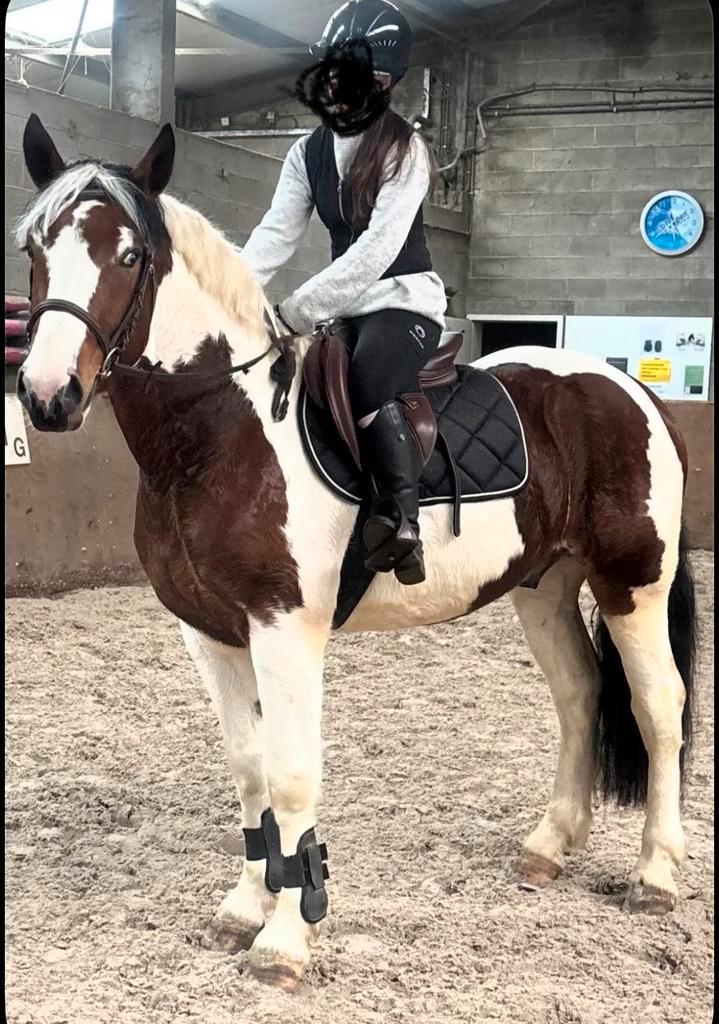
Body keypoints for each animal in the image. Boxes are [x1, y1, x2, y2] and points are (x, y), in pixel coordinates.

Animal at [15, 114, 697, 989]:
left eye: (129, 256)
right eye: (35, 247)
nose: (48, 395)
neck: (222, 431)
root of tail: (630, 389)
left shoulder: (284, 628)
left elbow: (289, 773)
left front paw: (286, 938)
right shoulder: (208, 633)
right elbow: (248, 768)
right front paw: (245, 908)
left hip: (630, 583)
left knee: (657, 710)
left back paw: (654, 875)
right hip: (543, 585)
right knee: (578, 695)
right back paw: (546, 847)